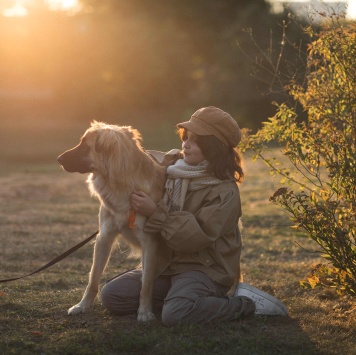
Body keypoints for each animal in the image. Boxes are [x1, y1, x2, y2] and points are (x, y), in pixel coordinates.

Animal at [56, 121, 170, 322]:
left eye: (85, 145)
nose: (58, 159)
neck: (122, 184)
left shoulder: (149, 242)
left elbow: (146, 284)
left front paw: (144, 311)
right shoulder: (104, 236)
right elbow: (93, 278)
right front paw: (82, 306)